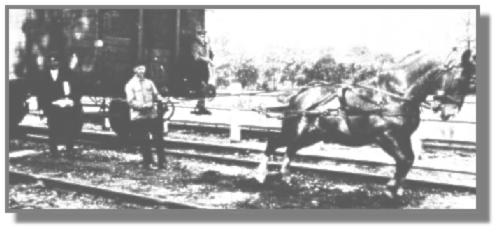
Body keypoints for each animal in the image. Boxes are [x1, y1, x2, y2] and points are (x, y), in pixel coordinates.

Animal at [256, 48, 474, 197]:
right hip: (297, 131)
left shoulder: (403, 136)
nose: (450, 112)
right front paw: (390, 188)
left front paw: (397, 188)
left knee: (289, 149)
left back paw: (285, 176)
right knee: (273, 143)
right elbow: (404, 159)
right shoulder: (385, 136)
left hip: (309, 135)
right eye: (461, 78)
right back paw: (261, 175)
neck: (393, 94)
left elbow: (408, 159)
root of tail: (299, 94)